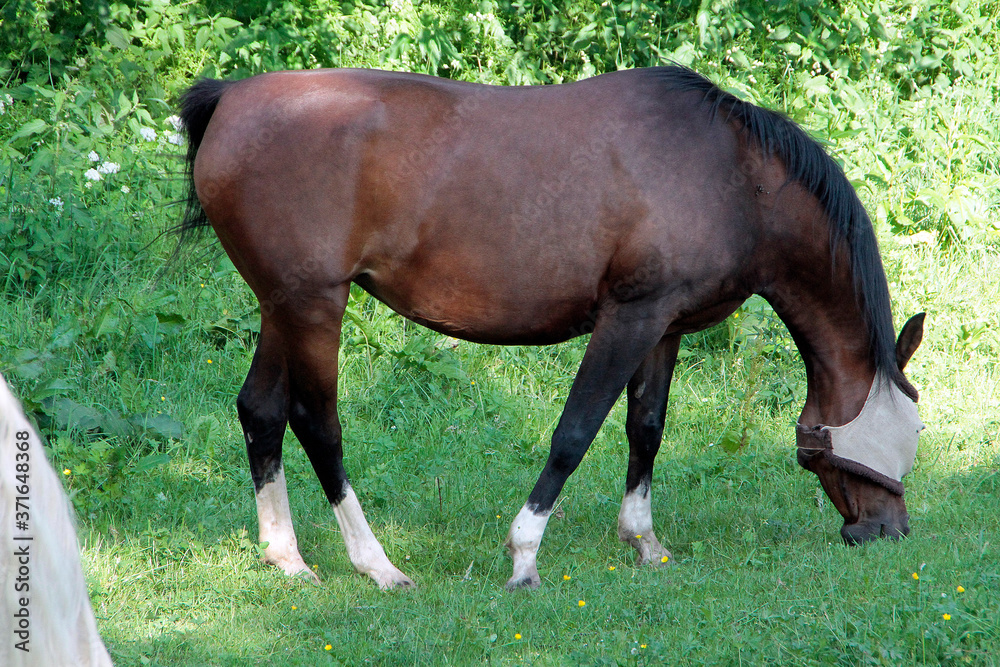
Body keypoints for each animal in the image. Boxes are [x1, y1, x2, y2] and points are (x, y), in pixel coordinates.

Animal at [176, 66, 924, 588]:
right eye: (905, 433)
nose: (889, 530)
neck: (735, 176)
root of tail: (231, 99)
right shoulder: (629, 316)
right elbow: (574, 432)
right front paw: (524, 554)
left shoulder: (664, 325)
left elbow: (645, 429)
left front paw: (644, 541)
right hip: (313, 305)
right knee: (316, 421)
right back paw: (375, 563)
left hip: (283, 304)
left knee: (261, 409)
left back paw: (286, 556)